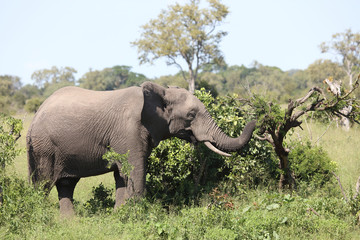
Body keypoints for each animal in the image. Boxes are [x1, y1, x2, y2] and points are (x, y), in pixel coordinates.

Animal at [27, 81, 256, 217]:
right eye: (191, 115)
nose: (255, 118)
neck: (162, 91)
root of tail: (35, 115)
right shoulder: (128, 131)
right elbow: (136, 169)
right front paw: (134, 217)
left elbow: (122, 176)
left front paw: (118, 216)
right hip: (44, 147)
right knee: (43, 183)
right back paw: (40, 216)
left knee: (66, 184)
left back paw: (70, 223)